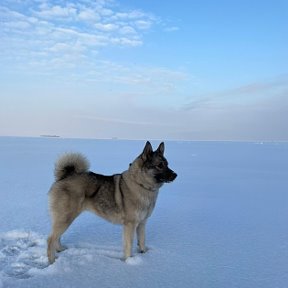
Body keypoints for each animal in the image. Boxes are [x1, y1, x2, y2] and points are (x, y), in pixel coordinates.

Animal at [47, 141, 177, 264]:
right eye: (159, 165)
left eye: (167, 164)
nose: (175, 175)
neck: (141, 184)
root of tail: (64, 177)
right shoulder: (130, 225)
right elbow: (128, 245)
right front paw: (129, 261)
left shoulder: (142, 223)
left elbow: (142, 241)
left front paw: (143, 254)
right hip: (65, 218)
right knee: (51, 239)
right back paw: (52, 261)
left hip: (64, 219)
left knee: (57, 238)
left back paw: (61, 250)